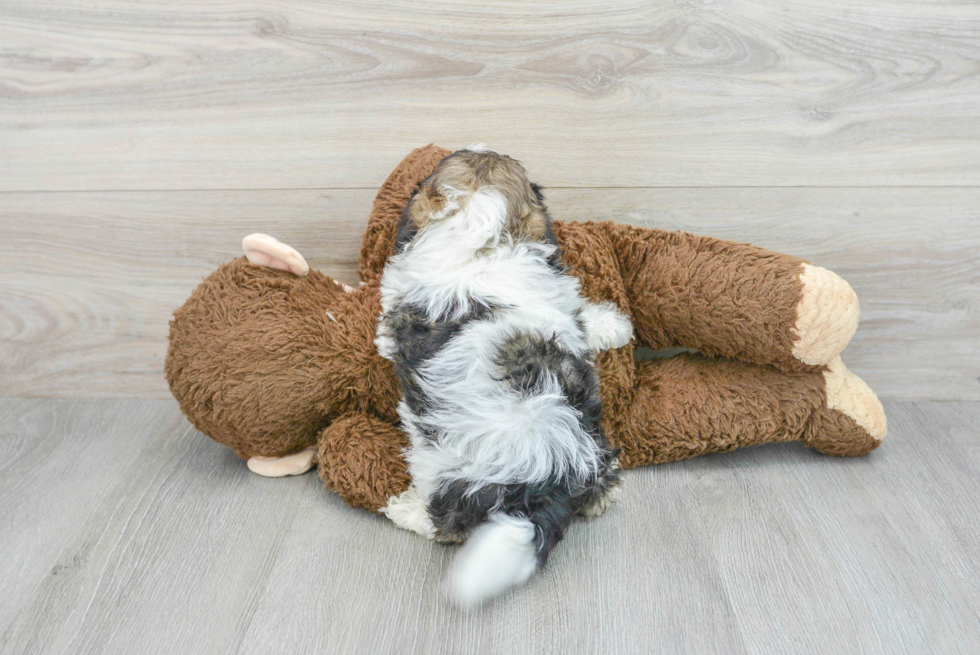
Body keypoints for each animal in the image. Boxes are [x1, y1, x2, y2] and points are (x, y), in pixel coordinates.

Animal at [376, 146, 636, 608]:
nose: (480, 145)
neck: (480, 239)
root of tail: (550, 476)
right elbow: (580, 315)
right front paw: (614, 325)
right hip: (592, 437)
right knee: (603, 477)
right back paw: (604, 495)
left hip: (444, 469)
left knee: (446, 525)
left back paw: (404, 509)